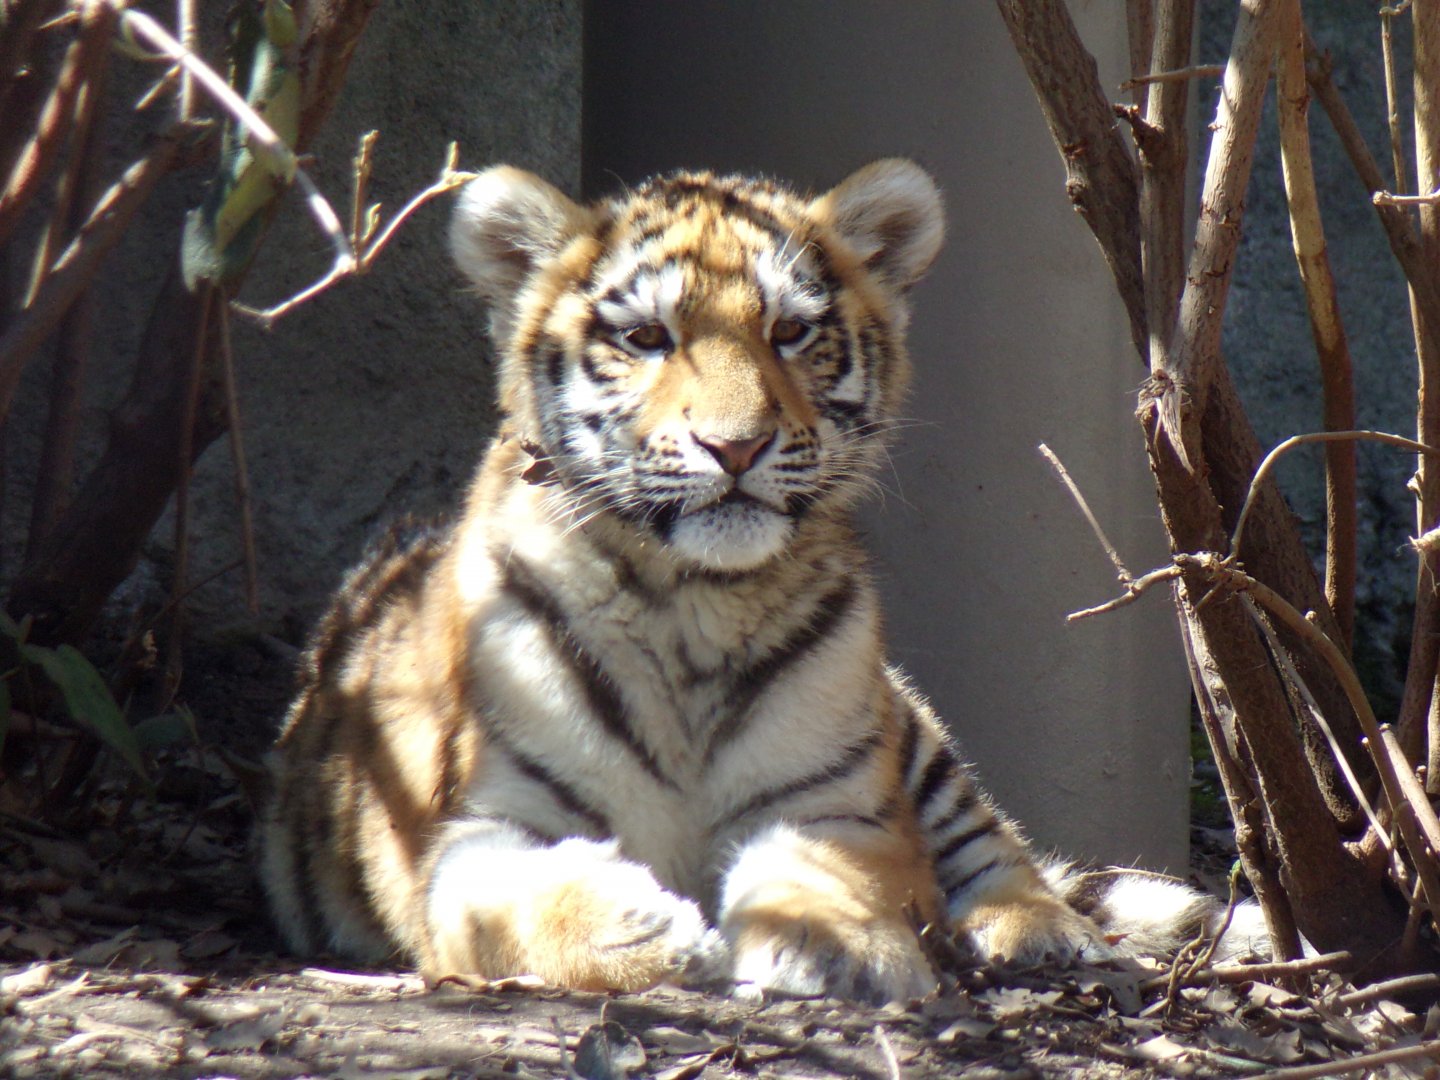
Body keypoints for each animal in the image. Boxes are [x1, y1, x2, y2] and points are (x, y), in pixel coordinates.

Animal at [258, 159, 1248, 1004]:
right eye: (646, 338)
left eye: (791, 331)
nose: (734, 447)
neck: (692, 601)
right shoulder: (477, 825)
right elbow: (504, 901)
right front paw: (637, 926)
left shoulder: (839, 803)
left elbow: (823, 871)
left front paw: (834, 944)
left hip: (910, 725)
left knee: (1002, 848)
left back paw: (1038, 933)